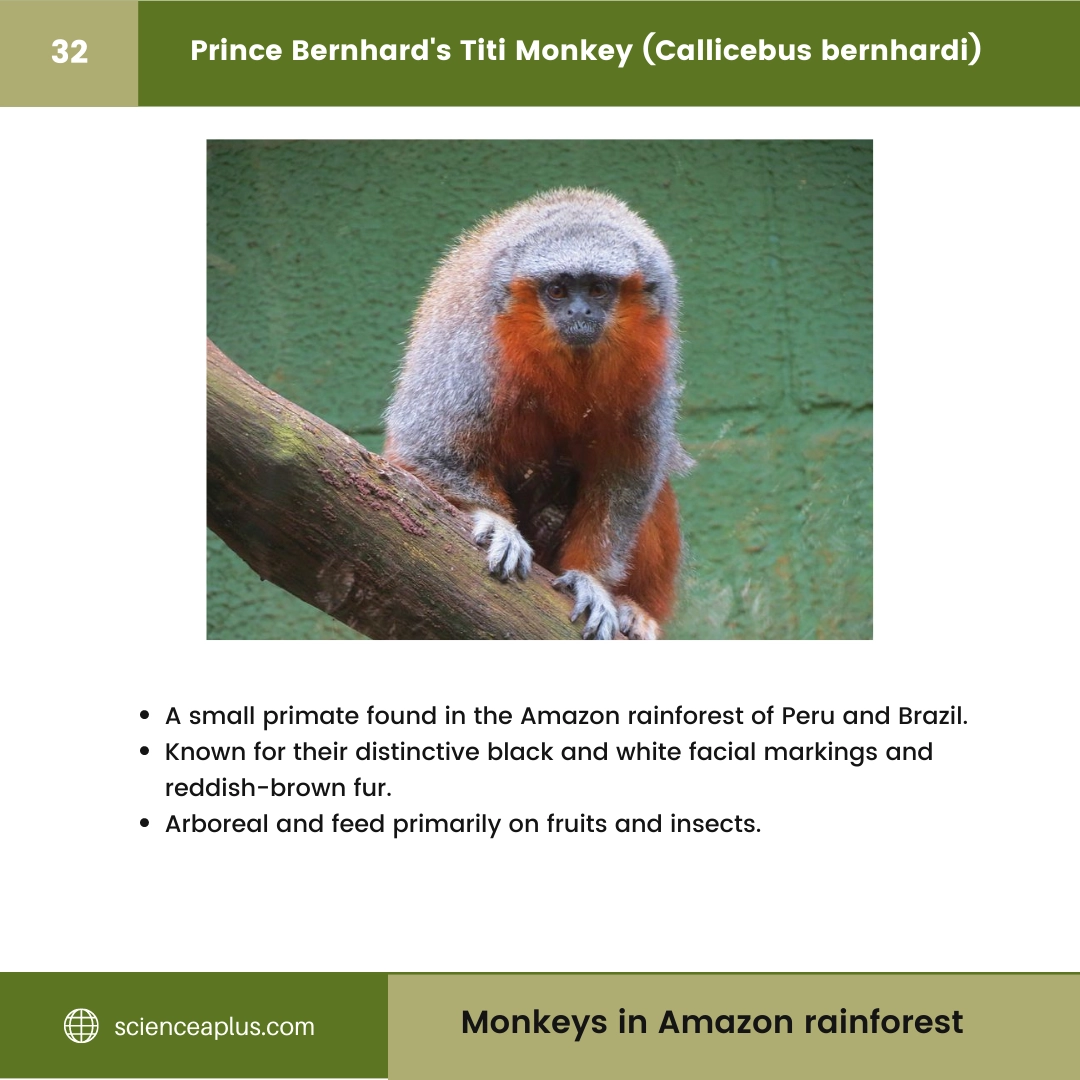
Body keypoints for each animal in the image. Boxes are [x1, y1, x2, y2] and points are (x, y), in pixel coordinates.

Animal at [384, 188, 689, 640]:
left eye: (597, 289)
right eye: (559, 291)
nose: (579, 313)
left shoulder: (652, 356)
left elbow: (628, 473)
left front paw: (592, 580)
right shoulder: (475, 342)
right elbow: (424, 446)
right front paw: (495, 521)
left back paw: (634, 608)